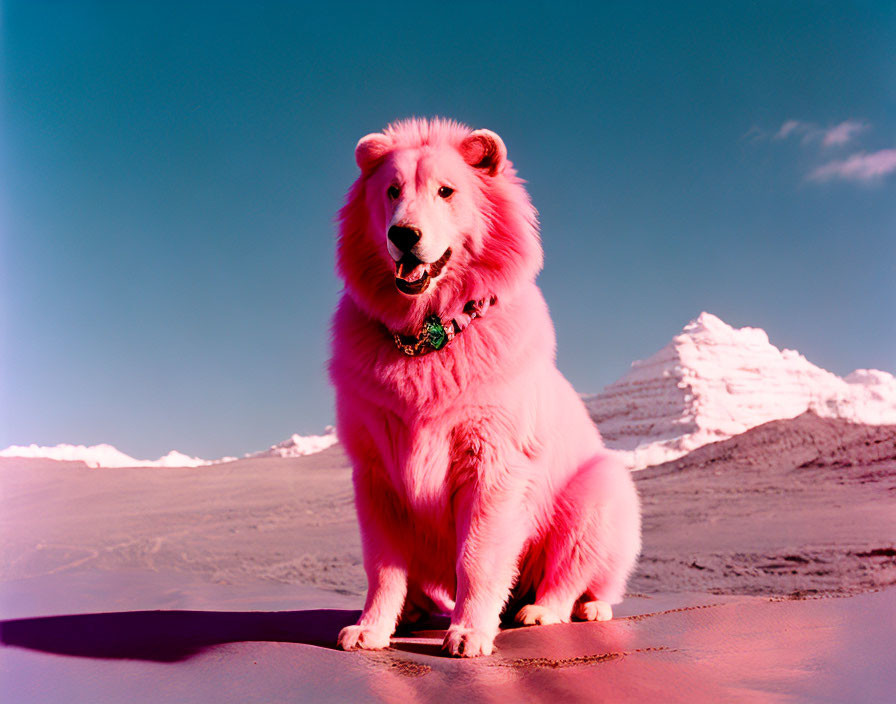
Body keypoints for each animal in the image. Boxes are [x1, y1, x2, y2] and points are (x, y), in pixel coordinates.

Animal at [332, 118, 640, 656]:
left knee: (575, 574)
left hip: (598, 491)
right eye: (391, 191)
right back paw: (415, 611)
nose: (403, 234)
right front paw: (372, 628)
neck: (427, 339)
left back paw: (553, 610)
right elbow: (383, 567)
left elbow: (476, 557)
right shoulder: (376, 473)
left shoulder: (492, 462)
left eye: (446, 191)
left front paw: (470, 632)